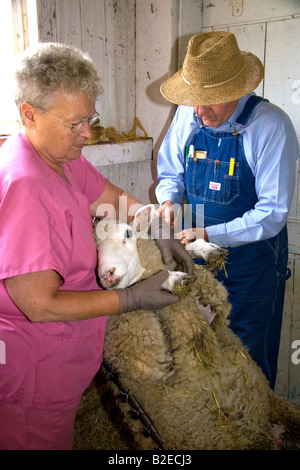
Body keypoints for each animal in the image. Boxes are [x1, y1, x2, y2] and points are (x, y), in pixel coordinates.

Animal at [95, 206, 300, 452]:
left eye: (128, 234)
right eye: (95, 250)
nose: (107, 274)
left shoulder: (211, 314)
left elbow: (181, 248)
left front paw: (205, 250)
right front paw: (170, 280)